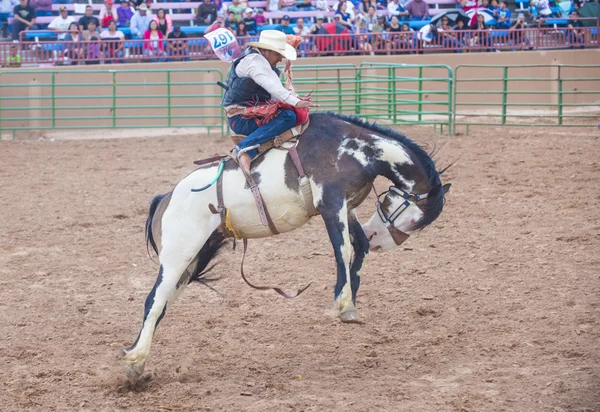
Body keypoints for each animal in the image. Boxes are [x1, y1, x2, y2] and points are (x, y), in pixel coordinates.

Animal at [123, 112, 450, 380]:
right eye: (413, 220)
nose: (379, 239)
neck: (356, 149)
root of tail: (166, 197)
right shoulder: (331, 204)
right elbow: (342, 250)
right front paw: (343, 303)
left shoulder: (347, 207)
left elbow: (358, 249)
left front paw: (351, 300)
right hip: (178, 257)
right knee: (154, 301)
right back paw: (136, 359)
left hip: (192, 261)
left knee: (161, 304)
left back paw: (135, 365)